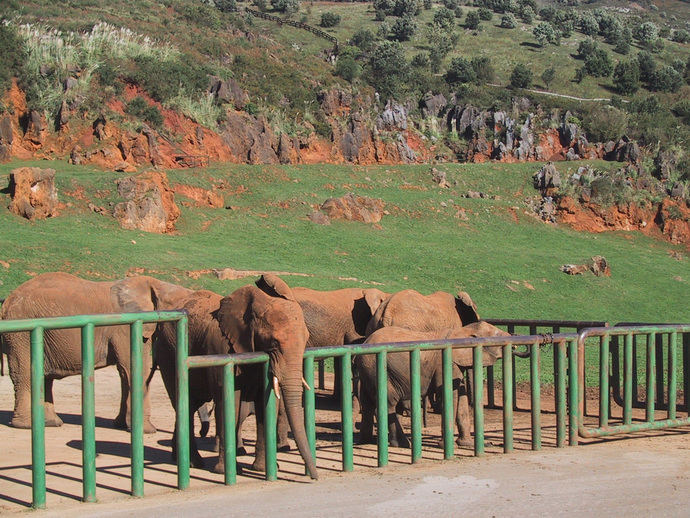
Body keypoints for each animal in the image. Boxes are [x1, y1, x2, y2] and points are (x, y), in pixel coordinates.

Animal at [0, 272, 191, 434]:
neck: (156, 284)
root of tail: (7, 301)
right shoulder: (125, 327)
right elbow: (134, 367)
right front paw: (148, 430)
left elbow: (124, 372)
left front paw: (121, 425)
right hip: (20, 333)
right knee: (25, 374)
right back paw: (27, 425)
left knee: (44, 377)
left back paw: (51, 422)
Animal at [154, 274, 318, 482]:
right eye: (274, 343)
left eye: (306, 341)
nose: (315, 478)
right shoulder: (220, 346)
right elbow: (229, 400)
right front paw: (227, 471)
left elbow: (265, 404)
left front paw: (264, 469)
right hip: (167, 355)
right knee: (185, 404)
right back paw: (194, 463)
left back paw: (179, 459)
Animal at [354, 322, 506, 448]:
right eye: (497, 334)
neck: (462, 331)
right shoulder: (444, 364)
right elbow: (450, 395)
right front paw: (449, 446)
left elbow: (461, 398)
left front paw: (468, 444)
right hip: (379, 369)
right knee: (388, 403)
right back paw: (403, 444)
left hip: (368, 371)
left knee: (368, 404)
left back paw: (367, 441)